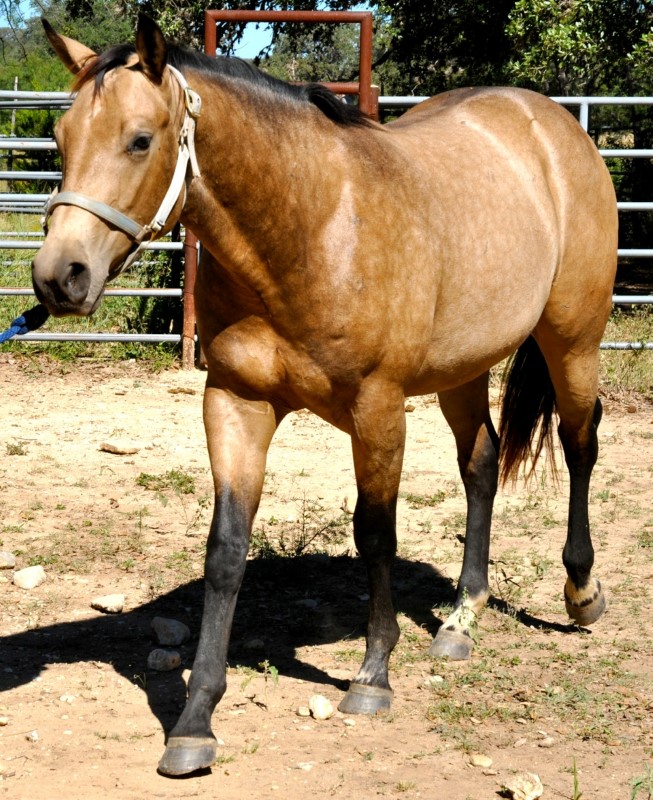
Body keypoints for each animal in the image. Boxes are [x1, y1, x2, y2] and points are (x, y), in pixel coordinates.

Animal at [33, 12, 616, 776]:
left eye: (139, 139)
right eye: (61, 139)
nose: (57, 276)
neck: (310, 229)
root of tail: (553, 123)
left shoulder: (378, 408)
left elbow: (375, 534)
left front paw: (372, 677)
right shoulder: (235, 401)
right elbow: (226, 550)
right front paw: (194, 721)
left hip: (571, 340)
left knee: (580, 443)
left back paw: (581, 593)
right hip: (463, 367)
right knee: (482, 464)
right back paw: (461, 617)